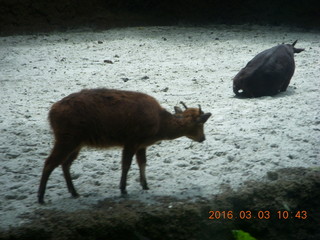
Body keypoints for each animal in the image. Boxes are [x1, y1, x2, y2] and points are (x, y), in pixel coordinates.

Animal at [37, 89, 211, 203]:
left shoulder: (141, 145)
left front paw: (145, 185)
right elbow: (126, 164)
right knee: (49, 162)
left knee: (65, 163)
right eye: (200, 123)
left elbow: (142, 163)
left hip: (76, 142)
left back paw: (74, 192)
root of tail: (51, 112)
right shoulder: (131, 141)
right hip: (67, 138)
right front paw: (123, 189)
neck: (158, 127)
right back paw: (40, 197)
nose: (203, 138)